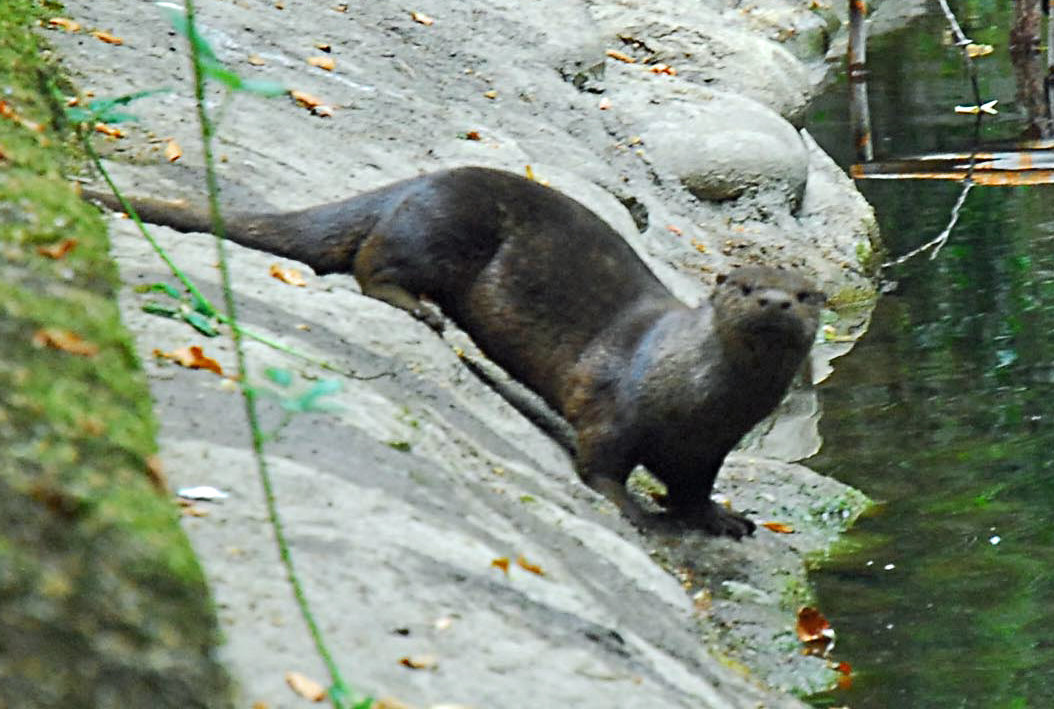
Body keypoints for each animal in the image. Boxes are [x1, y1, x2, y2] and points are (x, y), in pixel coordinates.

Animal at [83, 166, 823, 538]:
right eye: (746, 286)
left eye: (807, 294)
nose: (775, 303)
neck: (700, 402)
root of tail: (414, 182)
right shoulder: (613, 401)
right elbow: (602, 459)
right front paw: (629, 507)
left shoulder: (708, 450)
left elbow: (694, 490)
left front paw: (722, 518)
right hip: (440, 229)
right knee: (372, 262)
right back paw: (419, 309)